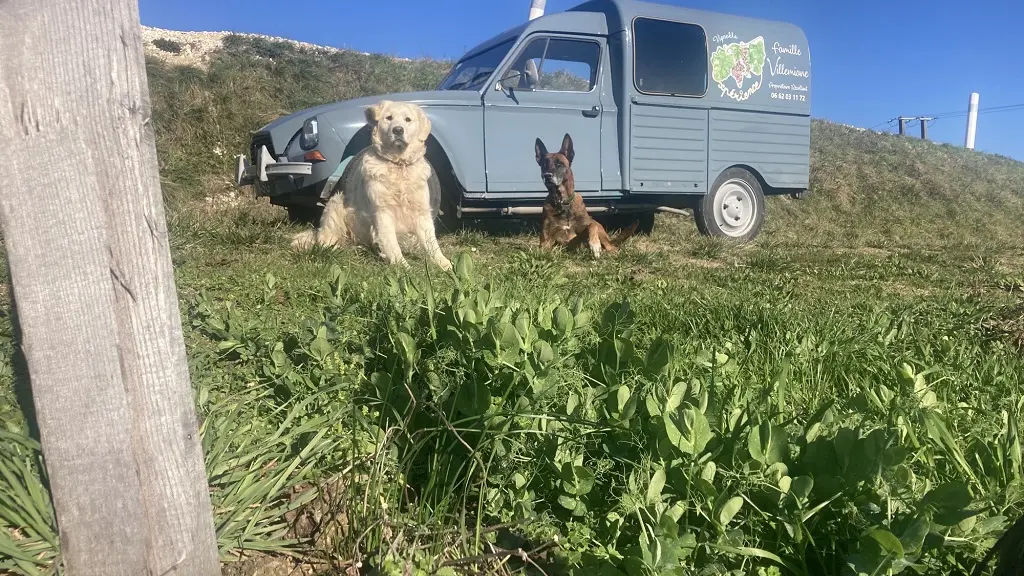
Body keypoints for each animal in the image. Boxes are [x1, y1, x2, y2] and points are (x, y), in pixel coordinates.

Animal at [288, 99, 448, 270]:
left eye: (408, 119)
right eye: (389, 118)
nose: (398, 130)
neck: (398, 165)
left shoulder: (422, 211)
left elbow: (432, 242)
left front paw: (445, 265)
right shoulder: (382, 211)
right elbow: (391, 243)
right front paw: (403, 267)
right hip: (336, 203)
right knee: (326, 240)